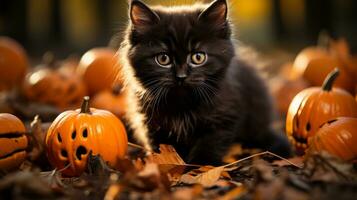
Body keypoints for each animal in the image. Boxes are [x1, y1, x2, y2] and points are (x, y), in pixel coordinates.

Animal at [118, 0, 290, 164]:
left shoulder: (224, 114)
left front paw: (200, 163)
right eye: (163, 59)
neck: (181, 105)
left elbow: (211, 142)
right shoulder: (149, 119)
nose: (181, 76)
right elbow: (160, 144)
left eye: (198, 57)